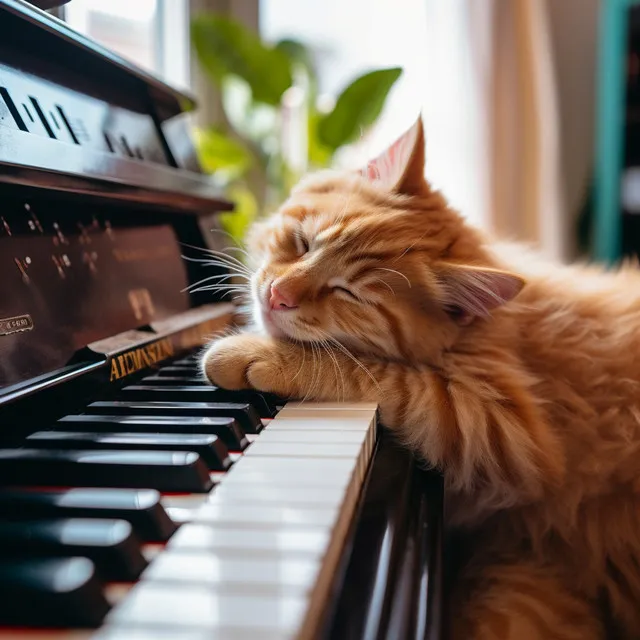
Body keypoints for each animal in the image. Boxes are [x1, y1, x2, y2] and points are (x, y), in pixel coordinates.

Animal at [202, 117, 640, 636]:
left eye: (348, 294)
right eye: (302, 243)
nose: (277, 295)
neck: (487, 328)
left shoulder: (511, 434)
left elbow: (380, 374)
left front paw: (255, 353)